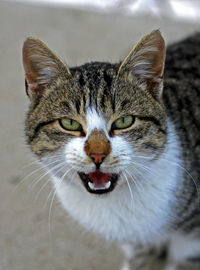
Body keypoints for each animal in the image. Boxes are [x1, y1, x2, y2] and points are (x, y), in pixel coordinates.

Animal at [22, 30, 199, 268]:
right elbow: (138, 259)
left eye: (124, 121)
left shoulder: (191, 244)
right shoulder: (135, 242)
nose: (97, 154)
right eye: (69, 124)